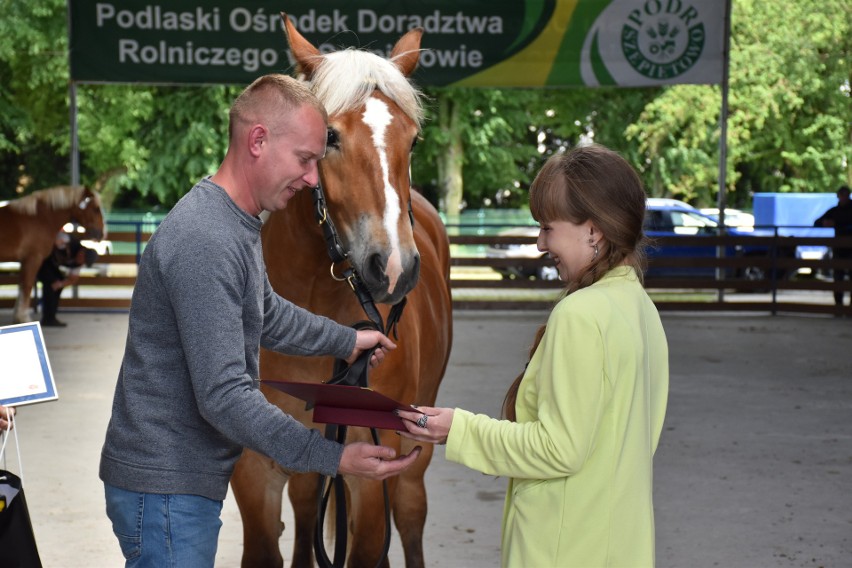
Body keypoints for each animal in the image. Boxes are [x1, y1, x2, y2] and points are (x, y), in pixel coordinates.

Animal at [0, 184, 105, 322]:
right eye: (96, 209)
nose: (101, 234)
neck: (41, 218)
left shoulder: (25, 261)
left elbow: (21, 286)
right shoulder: (33, 258)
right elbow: (26, 286)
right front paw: (23, 318)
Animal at [226, 14, 452, 568]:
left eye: (413, 140)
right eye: (329, 135)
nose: (393, 267)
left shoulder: (372, 473)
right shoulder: (256, 469)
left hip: (414, 454)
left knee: (410, 515)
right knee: (308, 506)